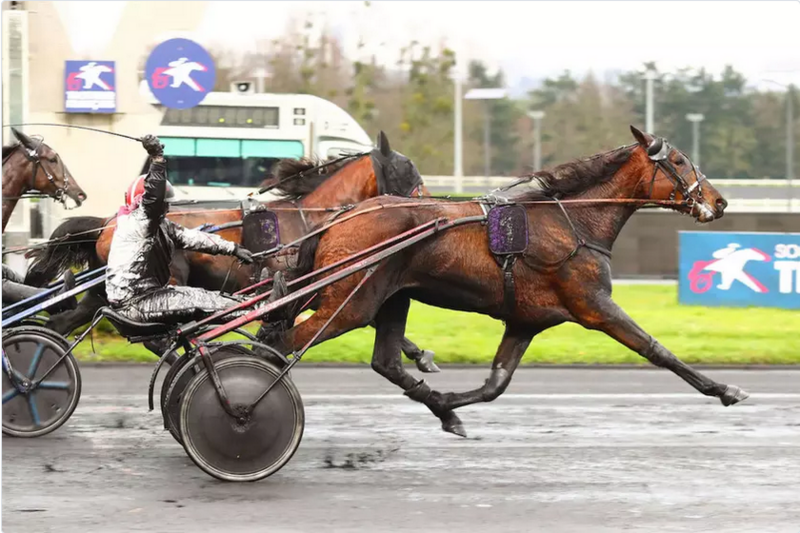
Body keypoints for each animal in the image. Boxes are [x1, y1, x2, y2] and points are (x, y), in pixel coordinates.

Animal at [278, 127, 748, 434]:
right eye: (680, 161)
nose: (720, 201)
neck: (571, 220)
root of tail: (340, 217)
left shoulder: (526, 320)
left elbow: (495, 384)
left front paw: (447, 406)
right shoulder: (594, 305)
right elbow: (657, 349)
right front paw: (725, 389)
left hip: (388, 297)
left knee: (384, 361)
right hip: (352, 301)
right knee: (283, 344)